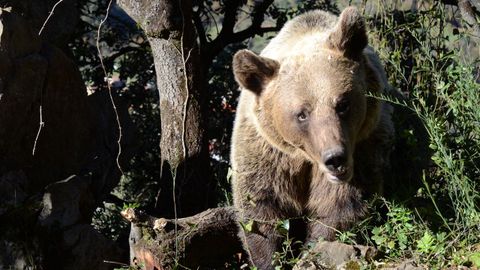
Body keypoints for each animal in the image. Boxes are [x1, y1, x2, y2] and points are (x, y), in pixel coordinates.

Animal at [231, 6, 396, 270]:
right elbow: (261, 209)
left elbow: (340, 207)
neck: (306, 157)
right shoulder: (269, 153)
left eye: (342, 104)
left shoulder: (363, 148)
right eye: (301, 114)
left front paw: (314, 250)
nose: (335, 158)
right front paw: (271, 258)